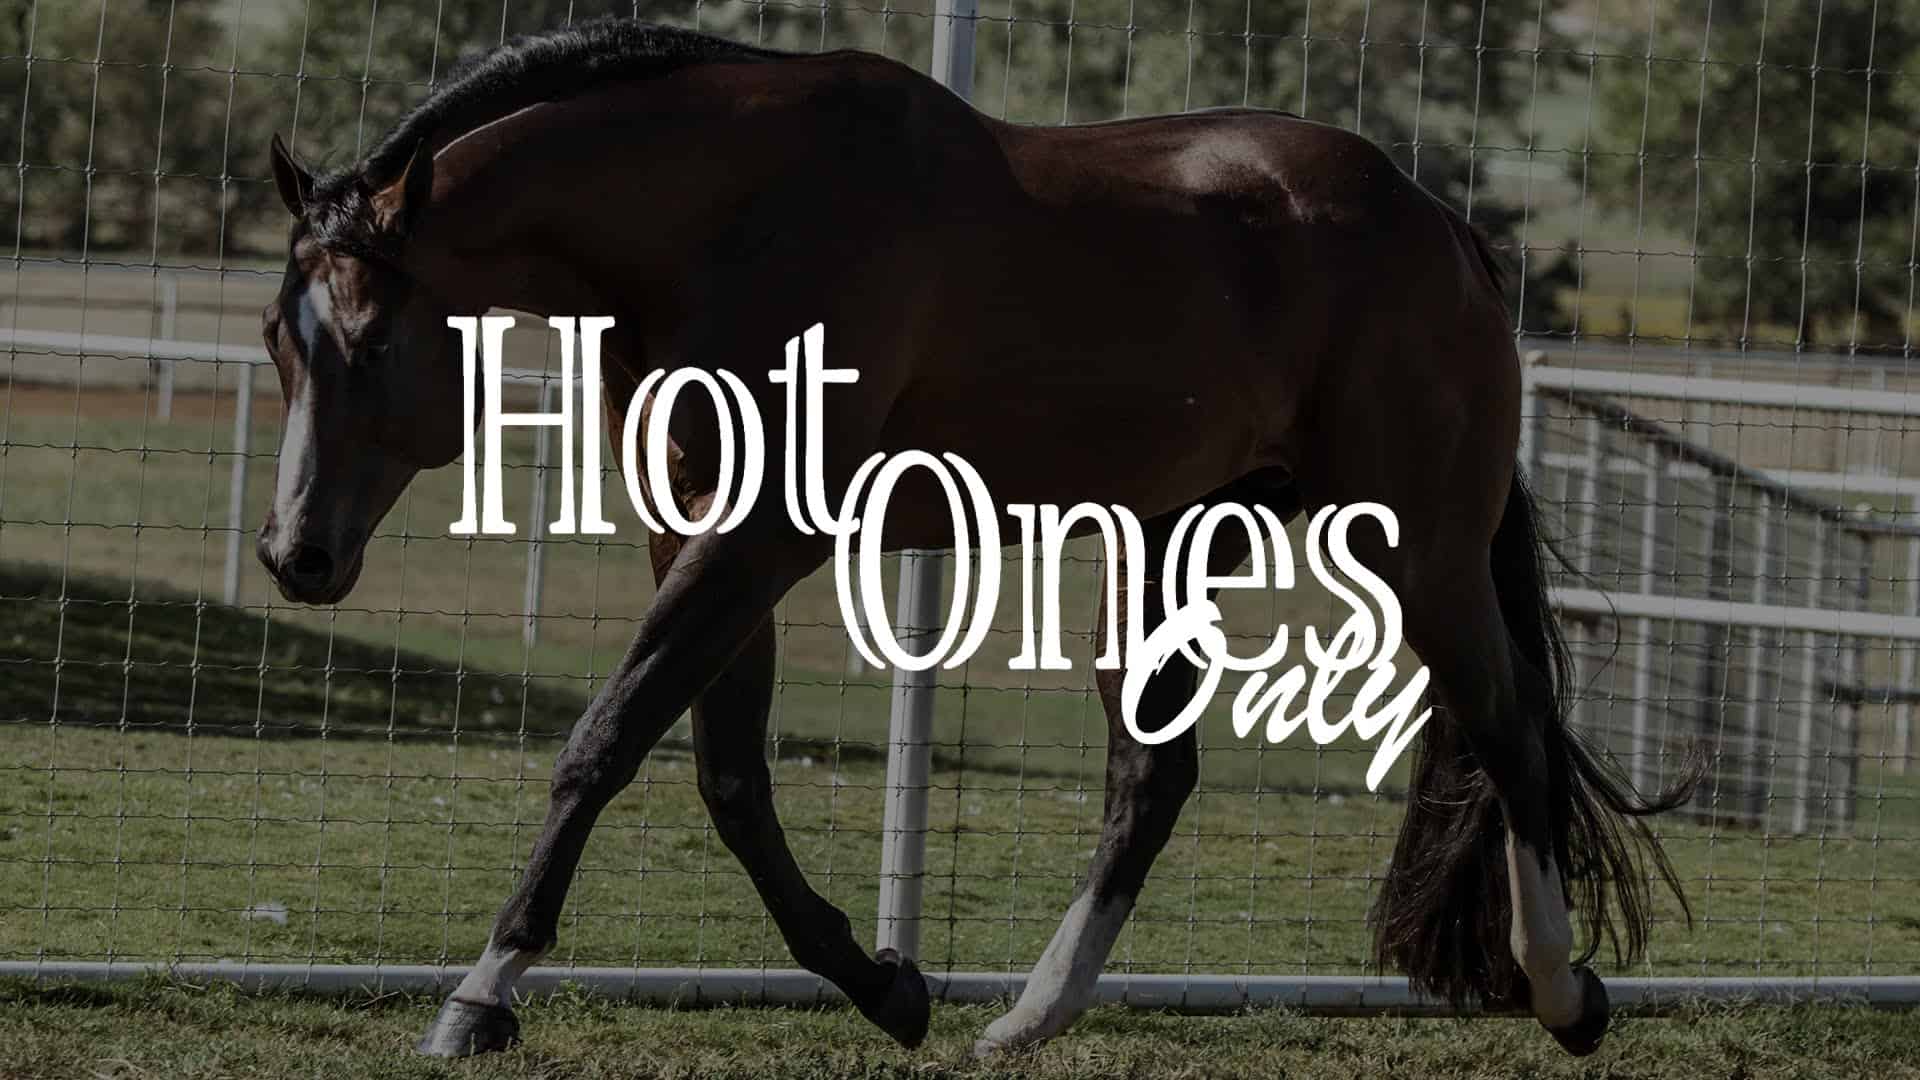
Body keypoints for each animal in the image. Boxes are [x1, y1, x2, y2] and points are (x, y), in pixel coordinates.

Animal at [255, 17, 1688, 1060]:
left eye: (368, 340)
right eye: (280, 341)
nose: (294, 557)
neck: (736, 216)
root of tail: (1443, 231)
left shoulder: (761, 540)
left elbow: (604, 746)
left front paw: (481, 996)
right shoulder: (698, 542)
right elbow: (729, 779)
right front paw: (886, 984)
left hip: (1417, 550)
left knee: (1510, 729)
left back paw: (1565, 996)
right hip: (1170, 548)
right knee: (1152, 780)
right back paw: (1029, 1018)